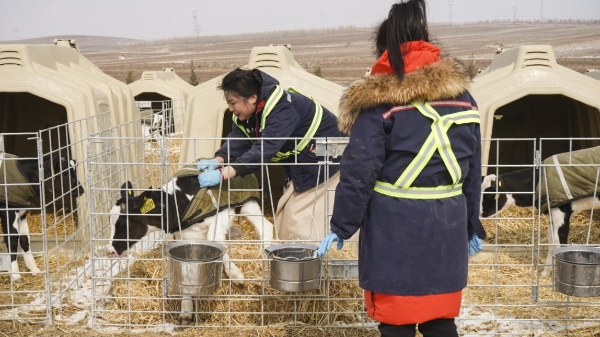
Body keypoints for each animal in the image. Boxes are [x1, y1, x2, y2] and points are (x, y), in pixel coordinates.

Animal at [0, 154, 85, 282]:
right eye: (65, 173)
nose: (81, 190)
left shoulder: (22, 211)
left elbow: (24, 238)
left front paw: (34, 269)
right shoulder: (9, 211)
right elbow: (13, 239)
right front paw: (15, 275)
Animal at [108, 168, 274, 322]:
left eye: (122, 224)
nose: (110, 250)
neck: (176, 202)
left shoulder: (219, 217)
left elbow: (215, 241)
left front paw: (236, 275)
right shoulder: (183, 236)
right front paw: (186, 309)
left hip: (249, 204)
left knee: (266, 227)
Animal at [480, 146, 600, 274]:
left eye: (489, 194)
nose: (479, 212)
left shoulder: (561, 212)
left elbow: (559, 242)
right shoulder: (551, 214)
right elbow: (551, 241)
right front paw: (546, 273)